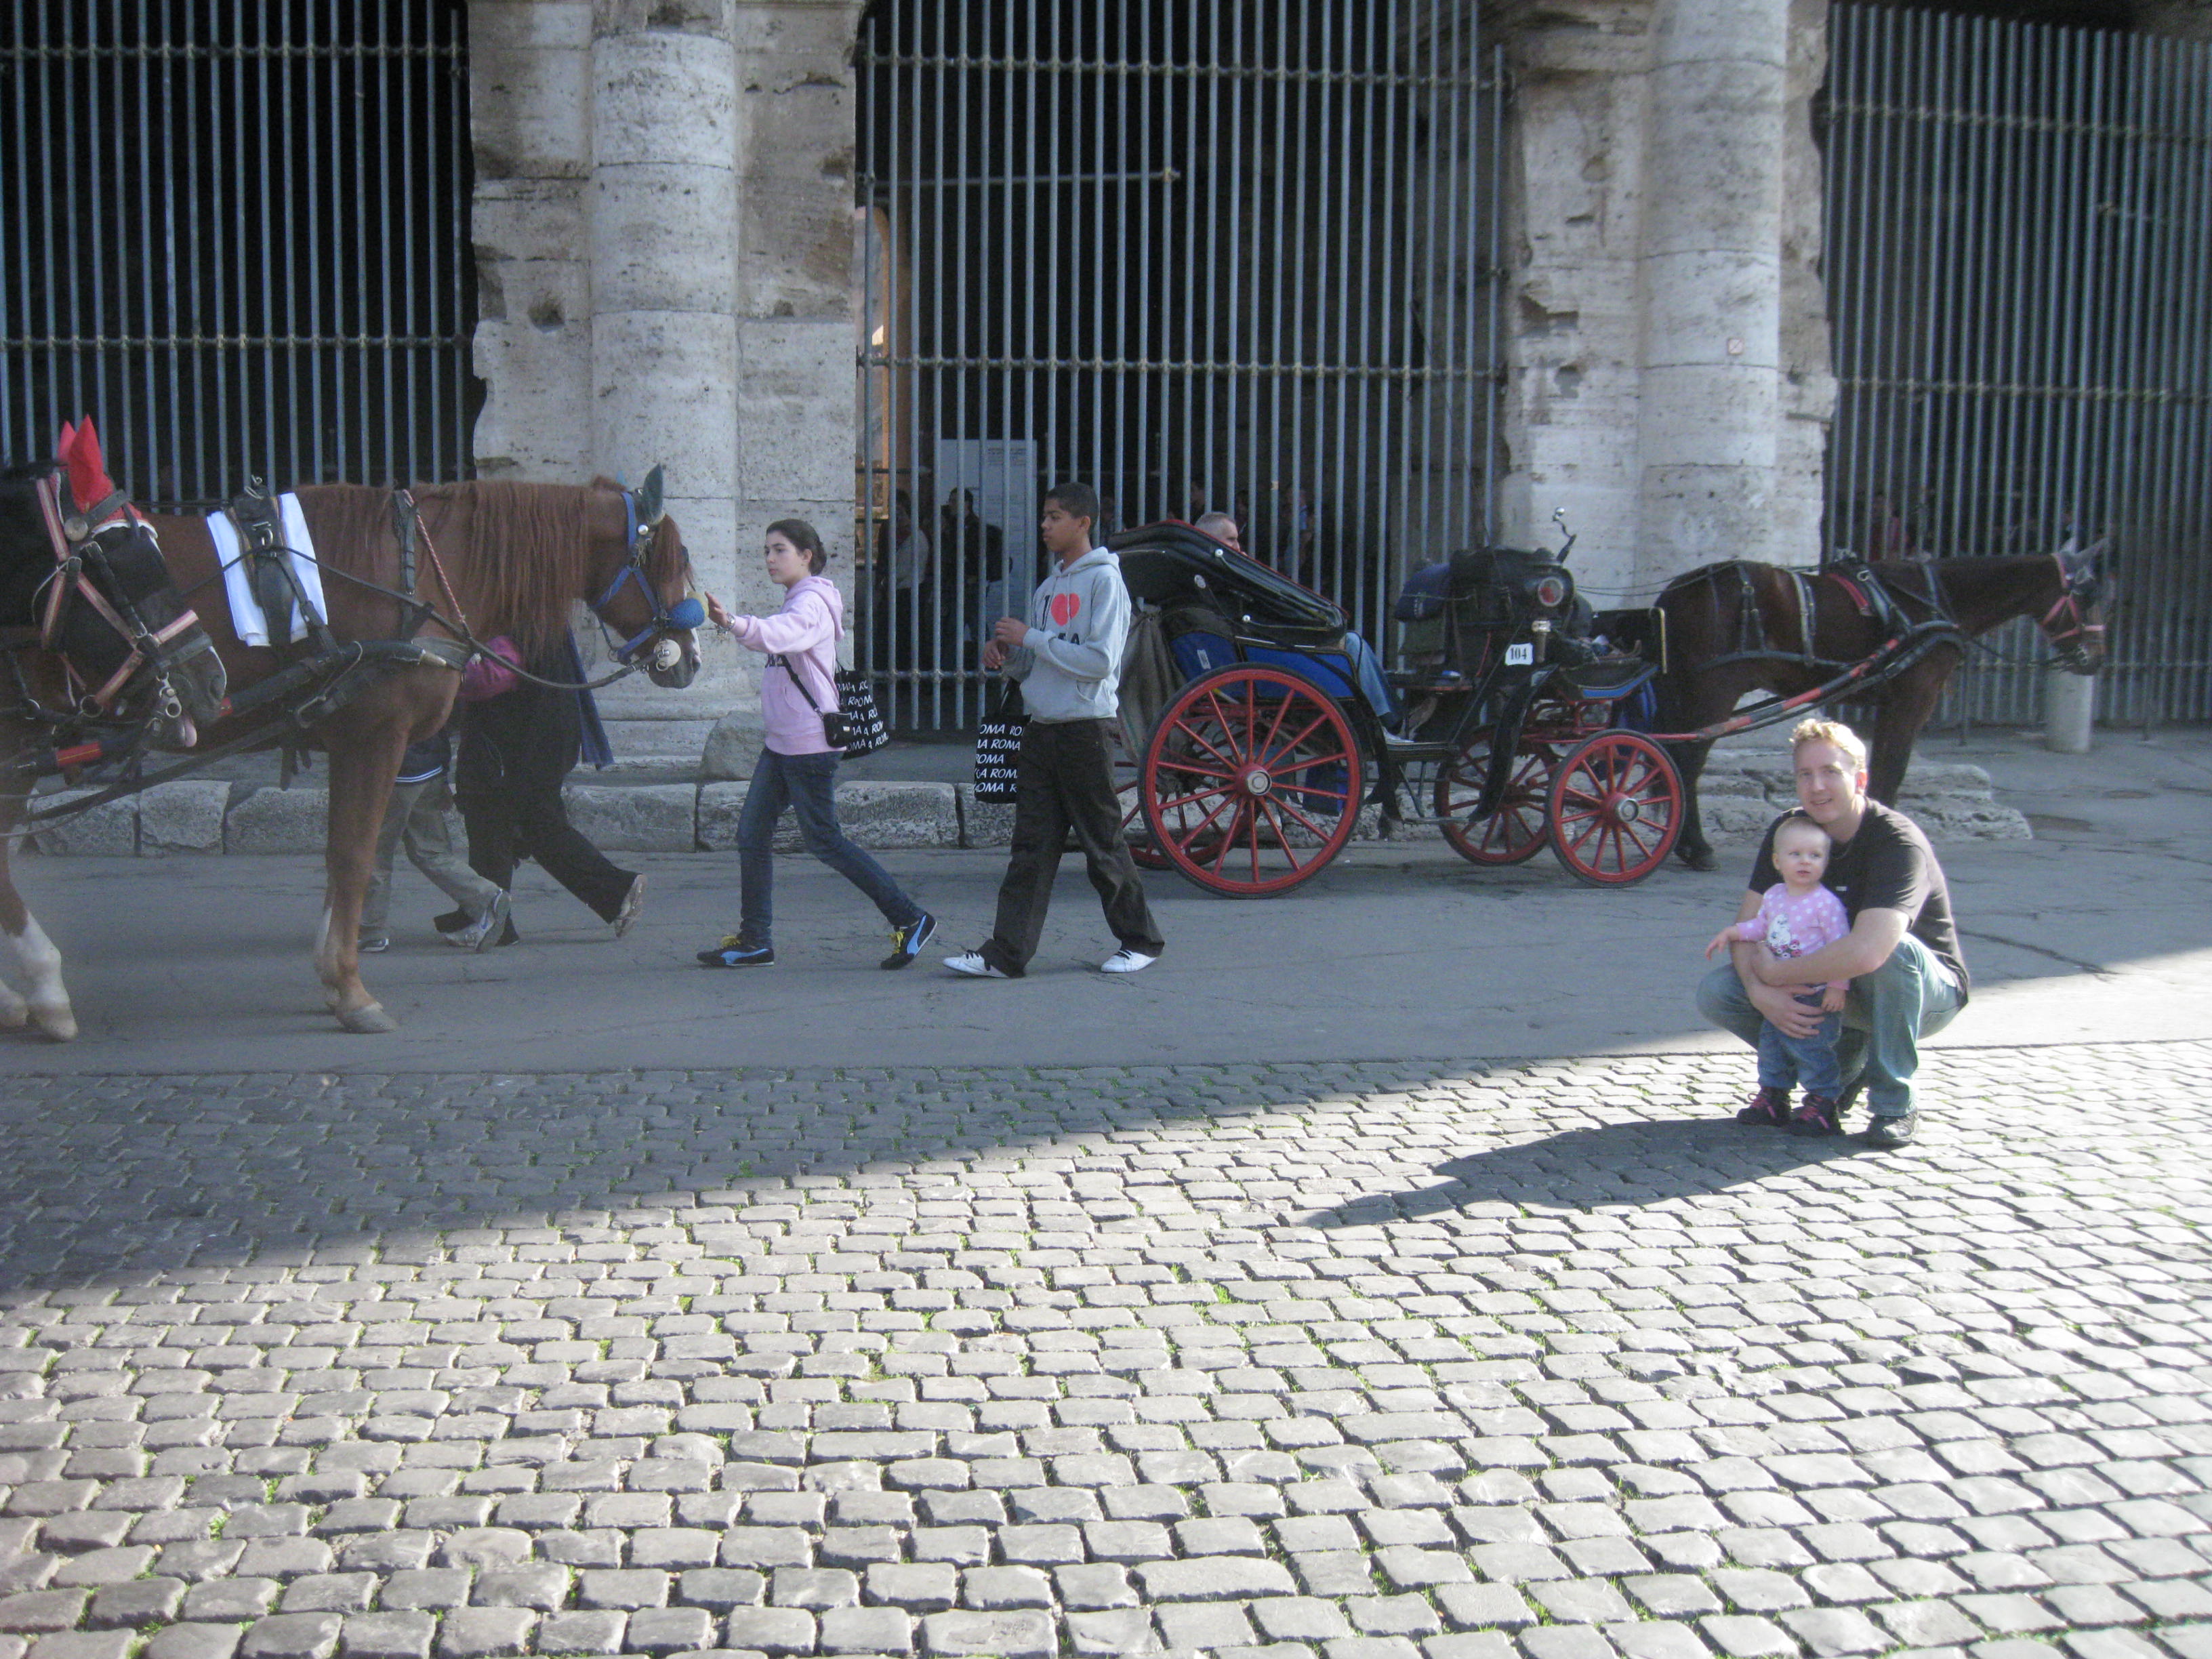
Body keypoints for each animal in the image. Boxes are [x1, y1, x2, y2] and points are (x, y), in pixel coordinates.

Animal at [1650, 551, 2107, 871]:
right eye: (2087, 599)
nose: (2095, 659)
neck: (1937, 600)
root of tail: (1678, 591)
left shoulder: (1893, 702)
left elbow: (1881, 770)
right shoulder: (1914, 699)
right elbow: (1893, 769)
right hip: (1714, 690)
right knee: (1686, 762)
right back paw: (1696, 846)